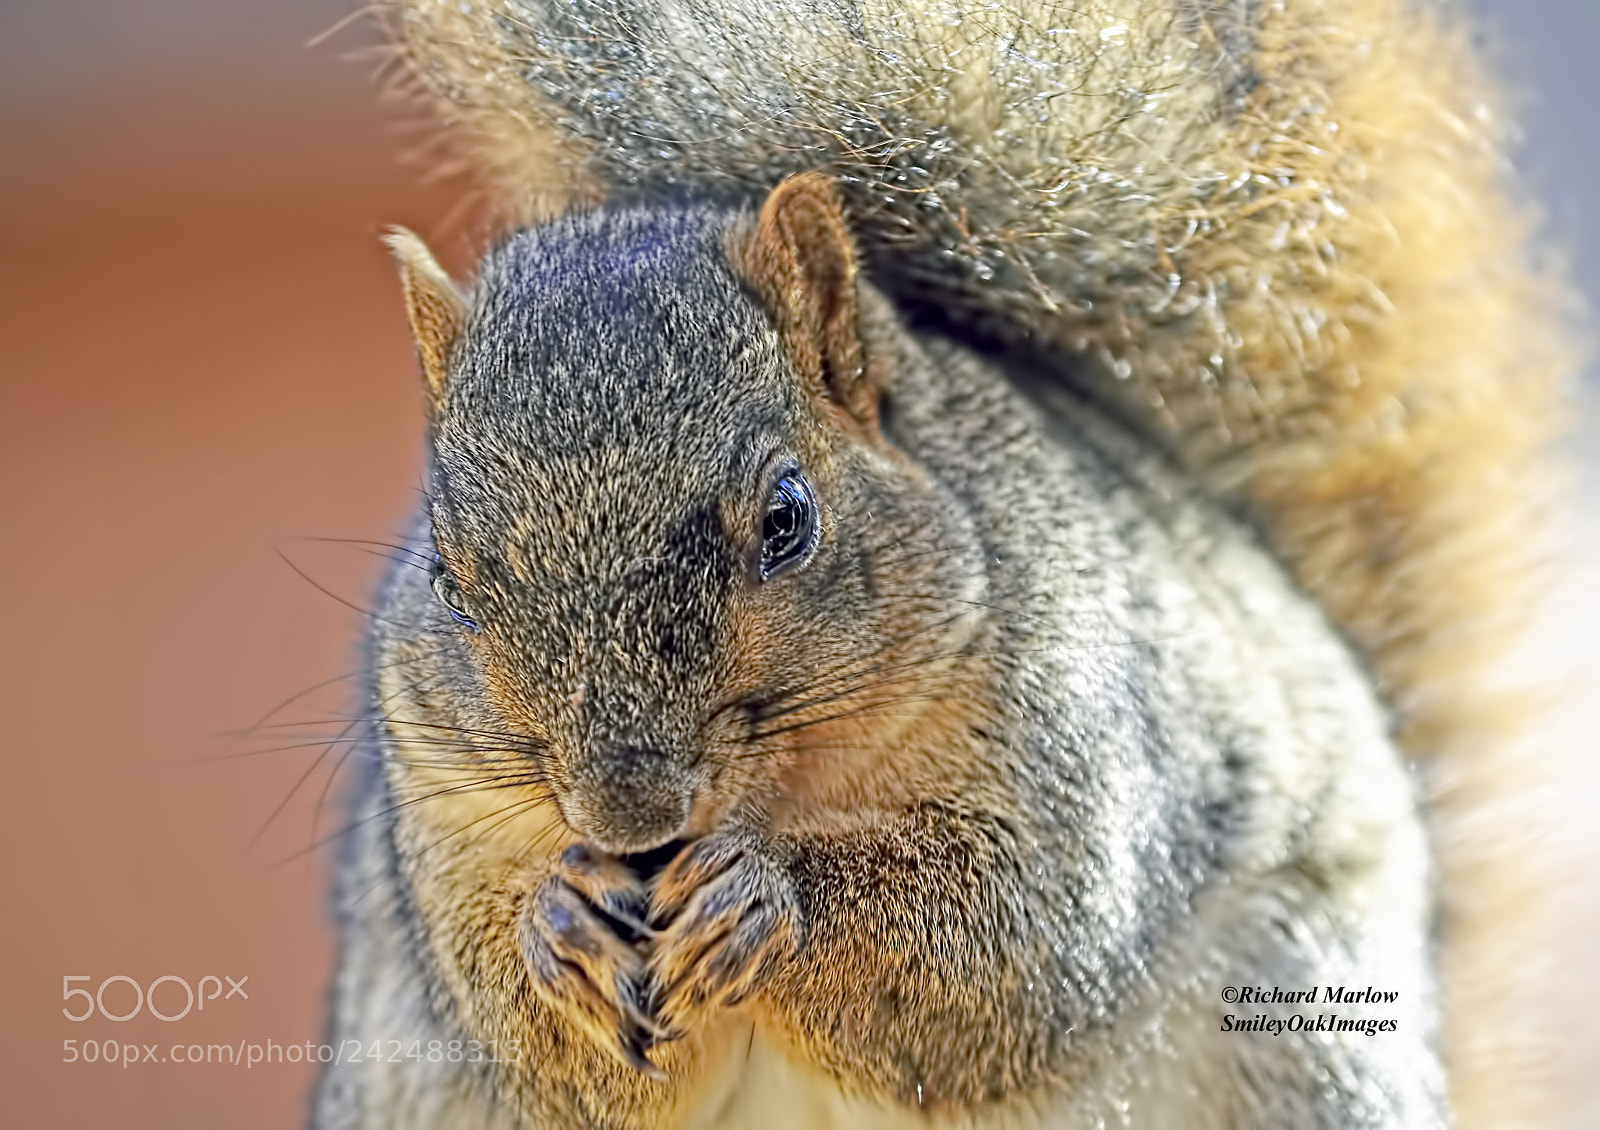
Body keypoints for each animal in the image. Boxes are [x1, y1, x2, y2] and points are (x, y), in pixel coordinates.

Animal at [314, 1, 1569, 1128]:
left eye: (787, 518)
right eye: (447, 577)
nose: (629, 813)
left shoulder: (1084, 752)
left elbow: (1005, 949)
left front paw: (767, 898)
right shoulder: (442, 820)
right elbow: (530, 1042)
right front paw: (560, 926)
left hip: (1310, 1031)